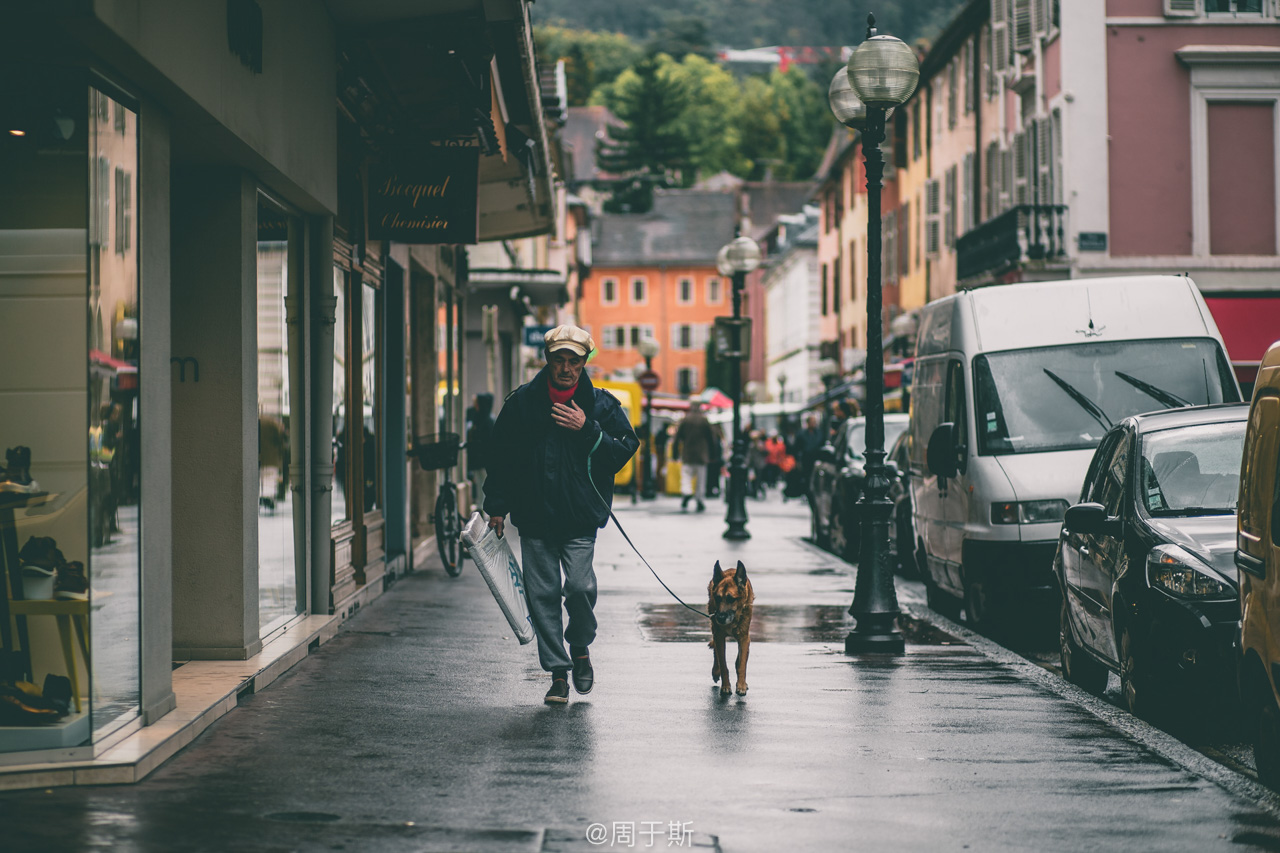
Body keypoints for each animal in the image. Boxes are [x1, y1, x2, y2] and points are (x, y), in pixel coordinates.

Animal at [711, 560, 747, 696]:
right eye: (717, 598)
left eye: (731, 599)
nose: (720, 618)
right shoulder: (719, 637)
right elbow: (723, 664)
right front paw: (726, 686)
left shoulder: (744, 638)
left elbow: (741, 663)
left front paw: (741, 685)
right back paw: (715, 672)